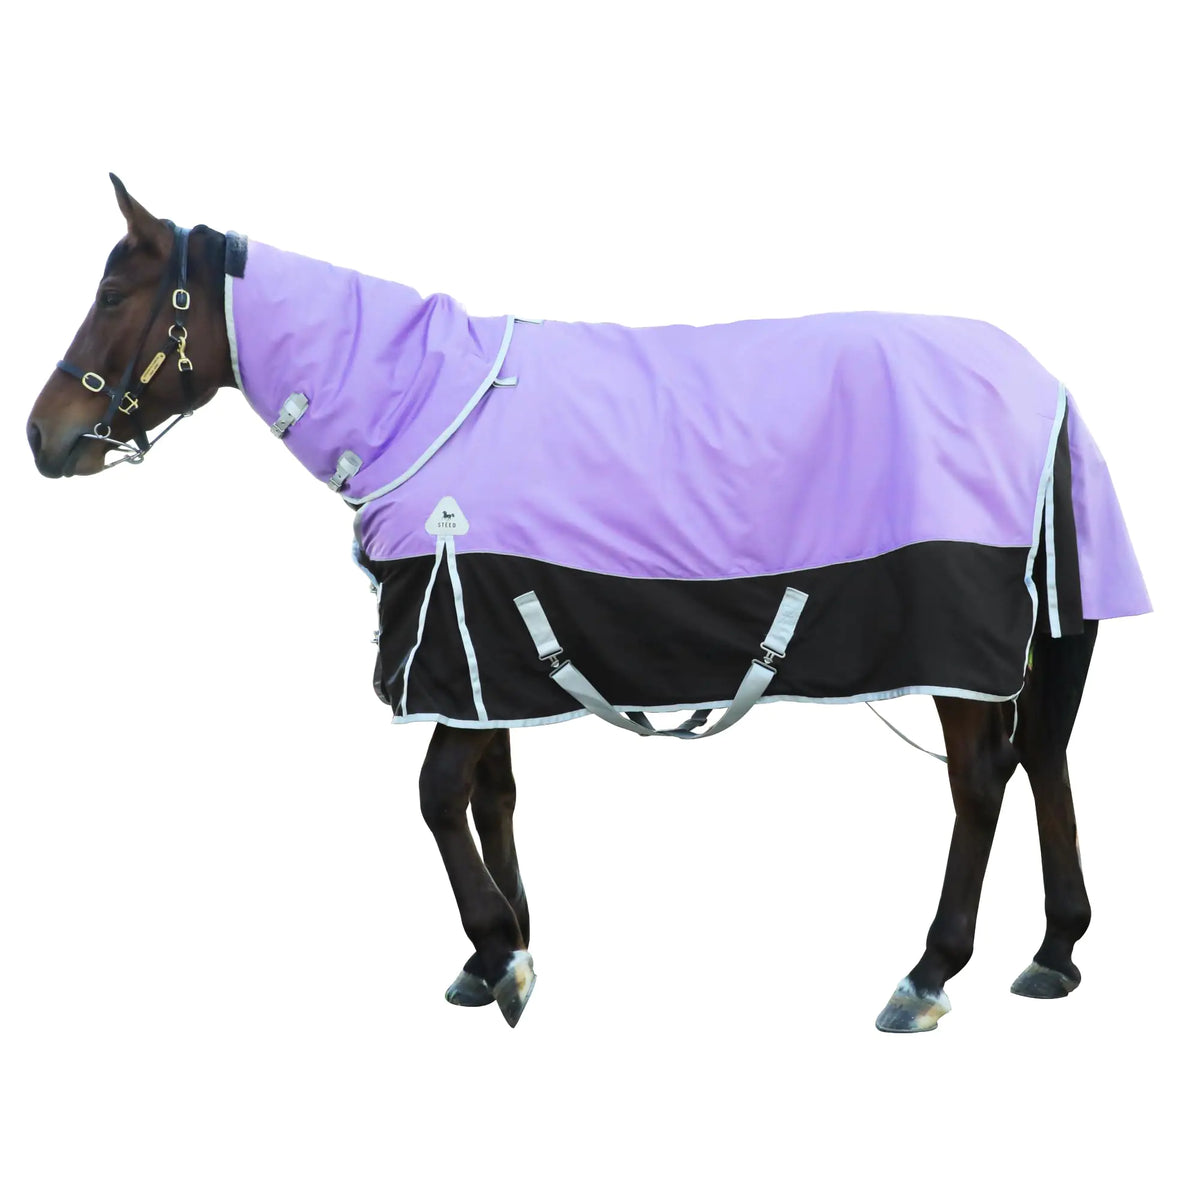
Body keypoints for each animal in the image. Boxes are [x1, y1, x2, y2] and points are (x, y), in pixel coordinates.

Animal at [26, 175, 1150, 1032]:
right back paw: (1055, 951)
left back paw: (928, 973)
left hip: (958, 646)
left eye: (116, 293)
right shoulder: (485, 653)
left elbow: (436, 796)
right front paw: (499, 952)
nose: (43, 435)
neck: (420, 407)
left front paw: (502, 956)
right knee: (1043, 756)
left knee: (983, 781)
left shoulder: (463, 638)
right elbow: (492, 795)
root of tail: (1043, 384)